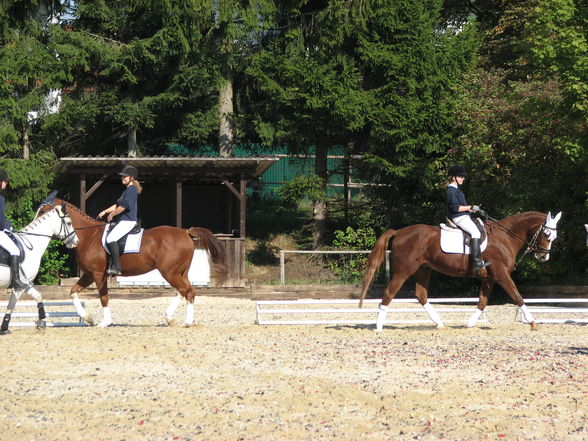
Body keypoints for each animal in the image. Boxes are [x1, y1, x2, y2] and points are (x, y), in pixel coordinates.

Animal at [0, 204, 78, 334]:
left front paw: (4, 328)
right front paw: (41, 321)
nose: (76, 241)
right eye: (69, 222)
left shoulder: (23, 285)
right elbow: (34, 297)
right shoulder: (22, 285)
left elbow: (15, 304)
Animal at [35, 196, 226, 326]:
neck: (89, 235)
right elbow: (73, 291)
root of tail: (185, 232)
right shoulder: (89, 274)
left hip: (169, 272)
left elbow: (104, 297)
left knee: (186, 291)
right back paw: (180, 319)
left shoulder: (98, 274)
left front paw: (105, 322)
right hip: (181, 272)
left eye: (44, 212)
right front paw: (88, 318)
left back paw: (178, 320)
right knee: (186, 291)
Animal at [358, 210, 560, 330]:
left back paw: (439, 323)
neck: (506, 238)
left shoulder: (489, 277)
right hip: (403, 271)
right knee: (389, 293)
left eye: (554, 236)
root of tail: (399, 232)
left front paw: (469, 324)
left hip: (423, 270)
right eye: (547, 234)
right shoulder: (501, 275)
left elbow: (482, 302)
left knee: (421, 295)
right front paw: (533, 322)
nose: (544, 257)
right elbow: (517, 296)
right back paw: (379, 326)